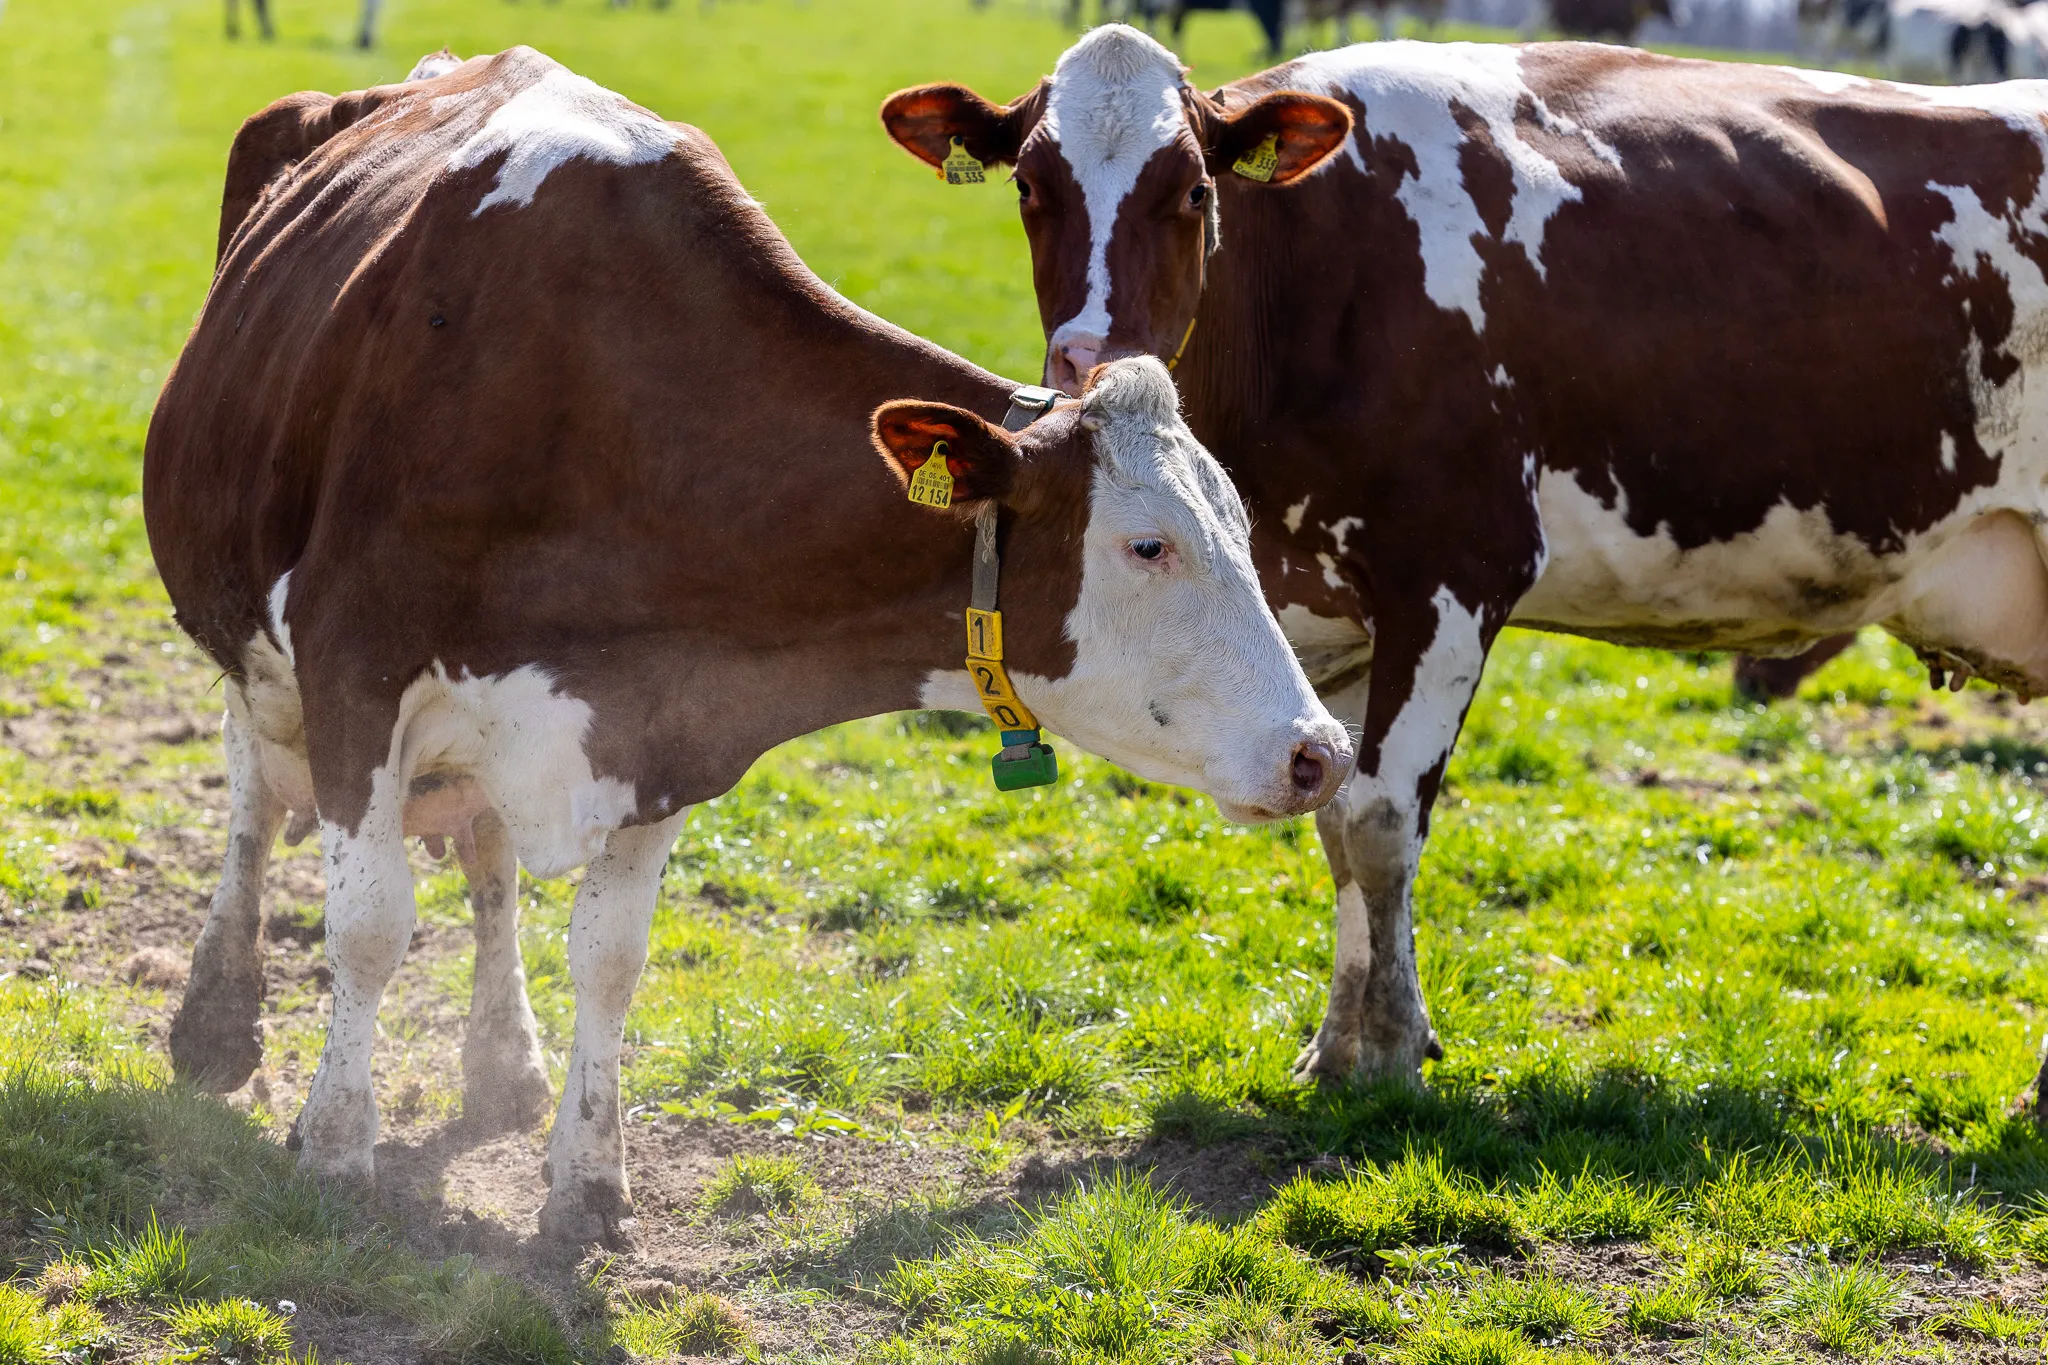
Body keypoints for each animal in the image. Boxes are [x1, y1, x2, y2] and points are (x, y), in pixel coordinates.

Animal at [146, 45, 1352, 1243]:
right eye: (1148, 545)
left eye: (1241, 526)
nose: (1323, 753)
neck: (611, 409)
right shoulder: (354, 662)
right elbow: (368, 924)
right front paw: (335, 1145)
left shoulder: (670, 713)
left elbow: (610, 958)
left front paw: (589, 1180)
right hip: (252, 647)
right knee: (253, 798)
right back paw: (217, 1022)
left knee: (486, 855)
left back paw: (501, 1061)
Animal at [883, 26, 2048, 1085]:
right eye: (1031, 186)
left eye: (1194, 190)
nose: (1090, 357)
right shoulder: (1328, 617)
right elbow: (1332, 816)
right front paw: (1337, 1048)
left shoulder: (1452, 572)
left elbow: (1377, 820)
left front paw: (1392, 1052)